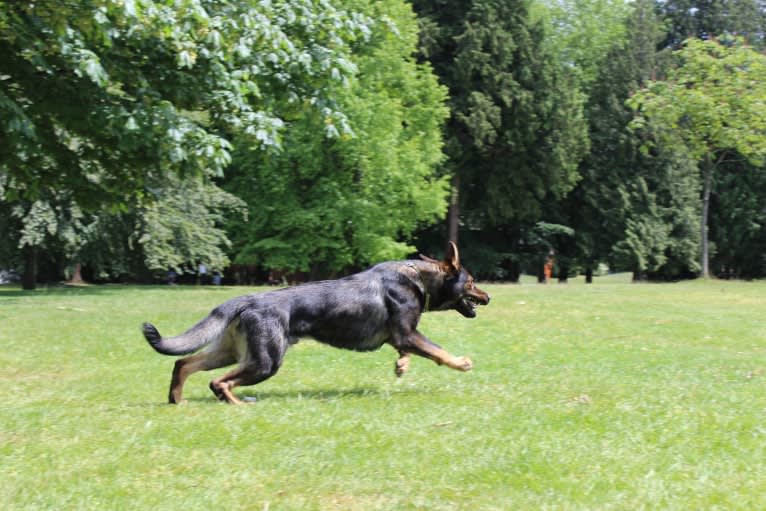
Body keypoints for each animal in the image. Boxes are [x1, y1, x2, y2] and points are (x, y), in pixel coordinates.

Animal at [142, 242, 492, 406]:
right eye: (472, 282)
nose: (488, 297)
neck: (419, 278)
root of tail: (245, 300)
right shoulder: (408, 334)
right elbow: (438, 350)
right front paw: (461, 363)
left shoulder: (401, 338)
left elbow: (407, 353)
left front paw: (401, 367)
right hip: (265, 361)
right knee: (219, 382)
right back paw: (239, 403)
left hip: (230, 352)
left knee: (184, 363)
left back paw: (178, 400)